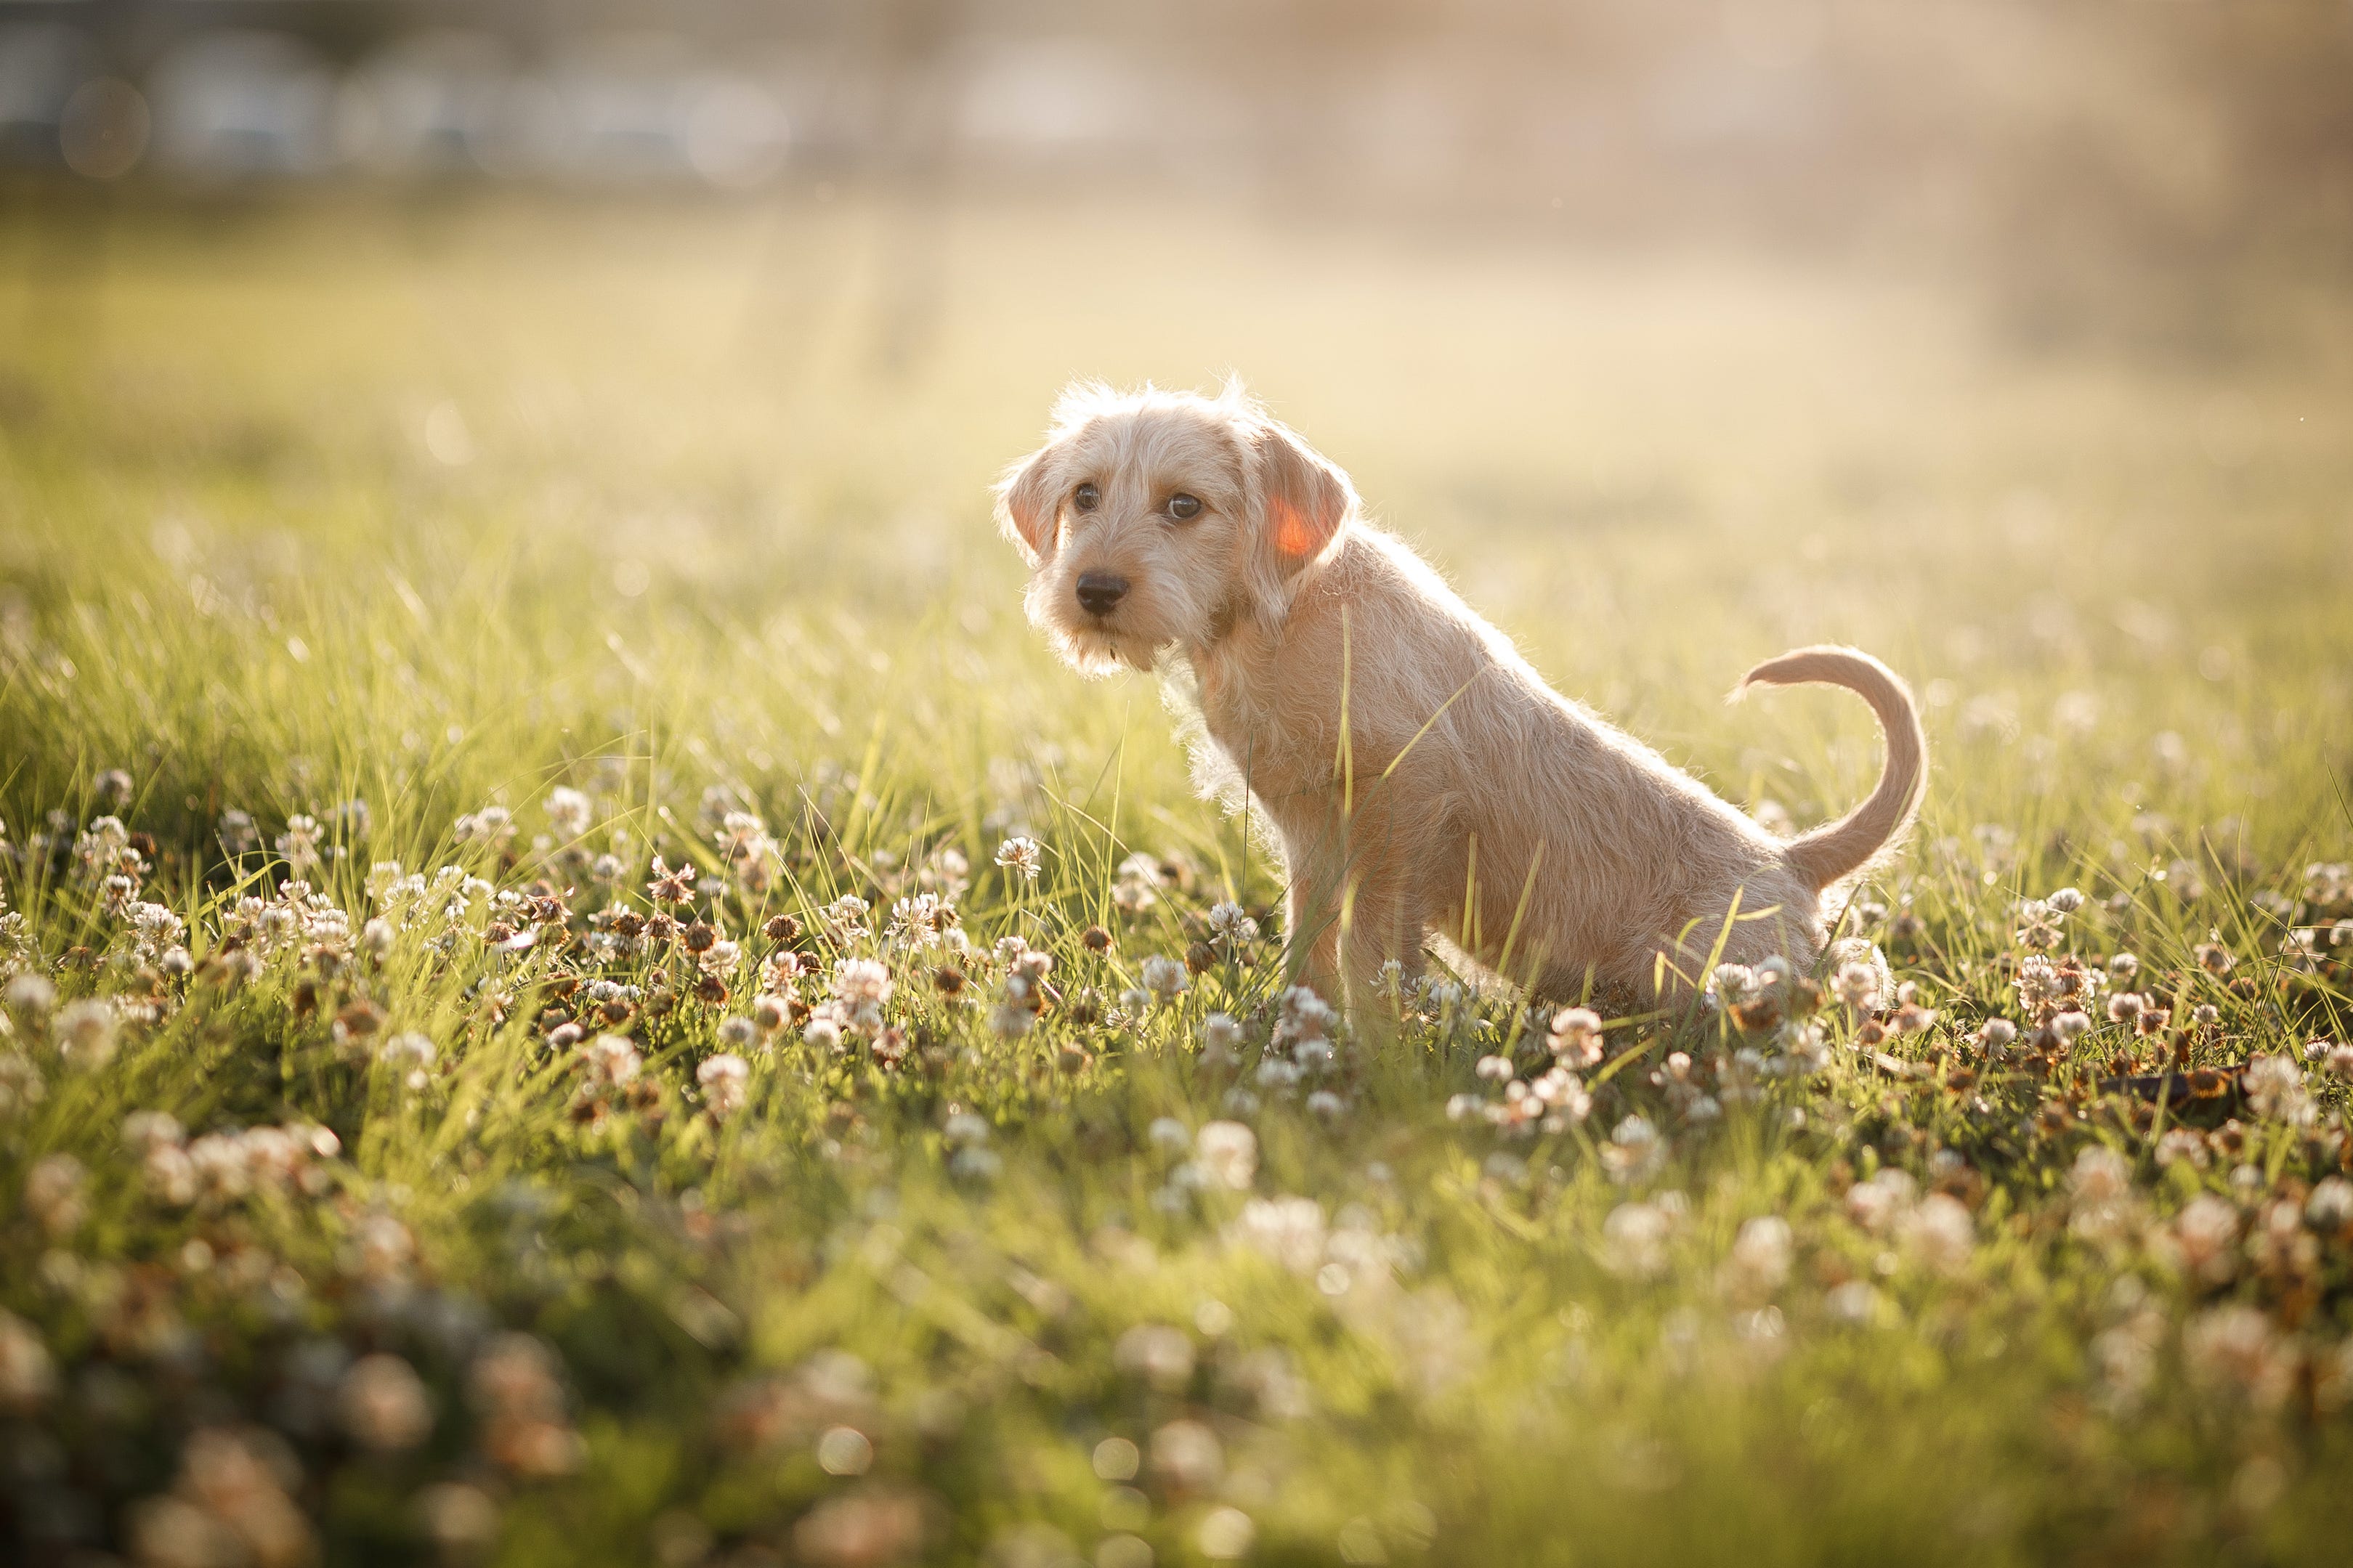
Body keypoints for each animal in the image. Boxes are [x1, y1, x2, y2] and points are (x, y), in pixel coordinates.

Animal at [997, 383, 1929, 1020]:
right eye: (1084, 494)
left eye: (1184, 505)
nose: (1092, 589)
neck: (1284, 613)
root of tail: (1790, 859)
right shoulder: (1309, 833)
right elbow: (1310, 938)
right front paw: (1297, 1030)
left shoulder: (1403, 804)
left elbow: (1370, 945)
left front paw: (1371, 1038)